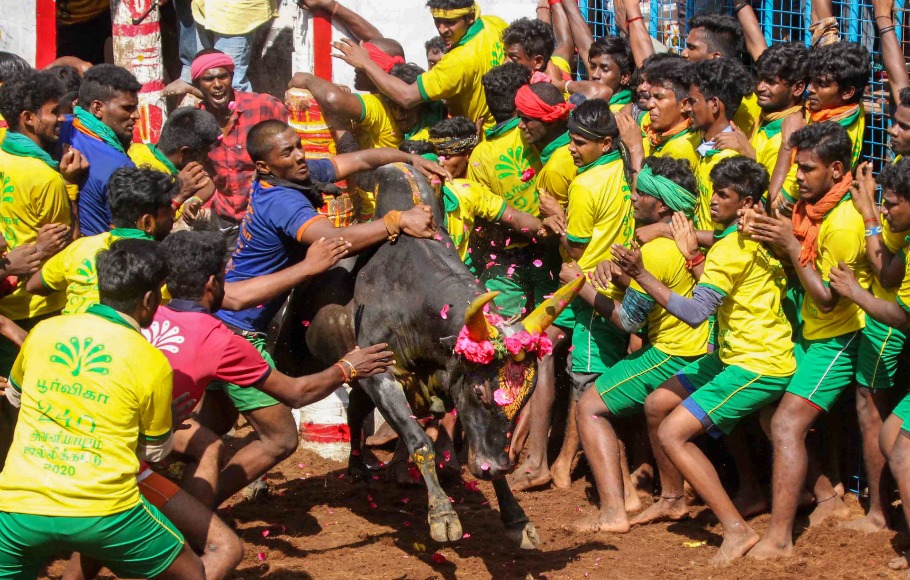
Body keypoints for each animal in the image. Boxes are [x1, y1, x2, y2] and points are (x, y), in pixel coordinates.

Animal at [268, 163, 576, 548]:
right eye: (480, 392)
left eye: (525, 400)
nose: (494, 465)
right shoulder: (380, 375)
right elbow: (420, 441)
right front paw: (443, 515)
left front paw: (517, 520)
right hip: (285, 351)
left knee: (354, 411)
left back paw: (357, 468)